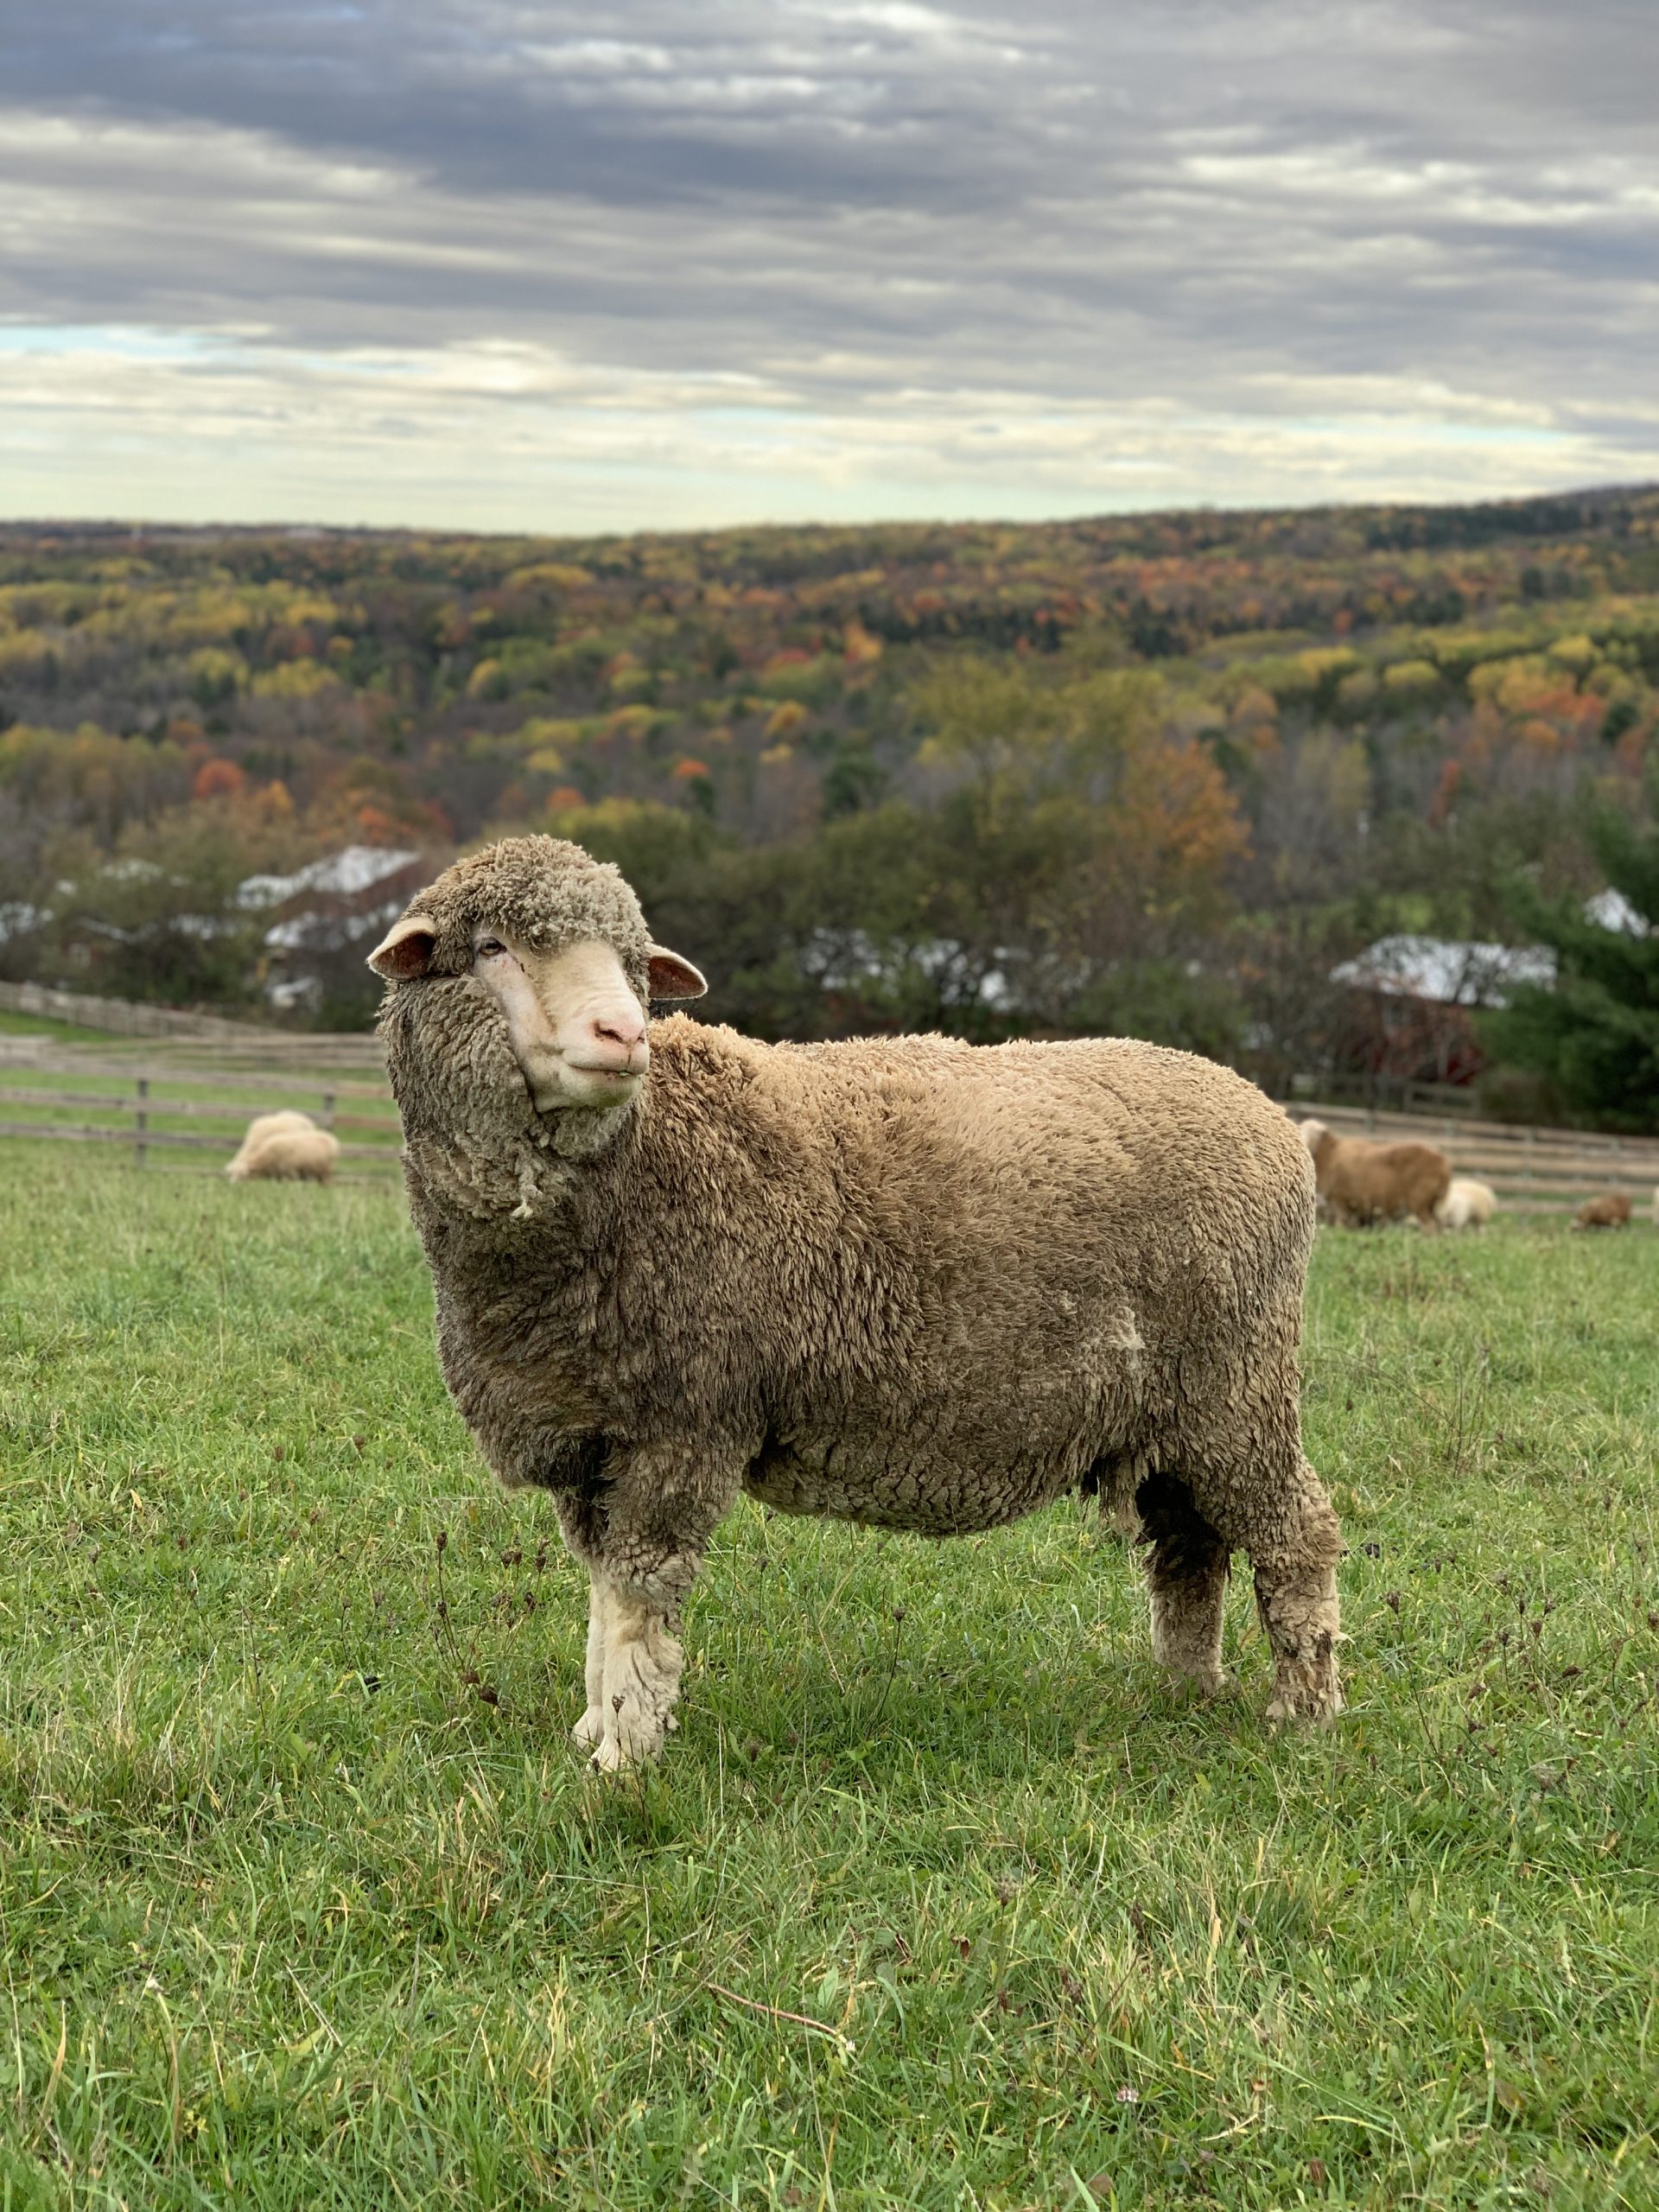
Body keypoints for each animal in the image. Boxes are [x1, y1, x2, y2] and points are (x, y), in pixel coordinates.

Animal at [369, 836, 1344, 1770]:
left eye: (633, 960)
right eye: (492, 948)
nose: (623, 1032)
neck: (640, 1162)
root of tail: (1269, 1118)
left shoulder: (682, 1419)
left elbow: (641, 1599)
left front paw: (625, 1755)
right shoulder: (591, 1433)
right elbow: (606, 1594)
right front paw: (590, 1727)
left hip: (1236, 1385)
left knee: (1297, 1532)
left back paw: (1302, 1713)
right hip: (1173, 1410)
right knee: (1190, 1546)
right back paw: (1187, 1690)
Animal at [1309, 1115, 1451, 1238]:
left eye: (1314, 1138)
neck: (1331, 1155)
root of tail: (1442, 1160)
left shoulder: (1340, 1201)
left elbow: (1341, 1226)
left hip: (1420, 1203)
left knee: (1430, 1228)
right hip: (1432, 1206)